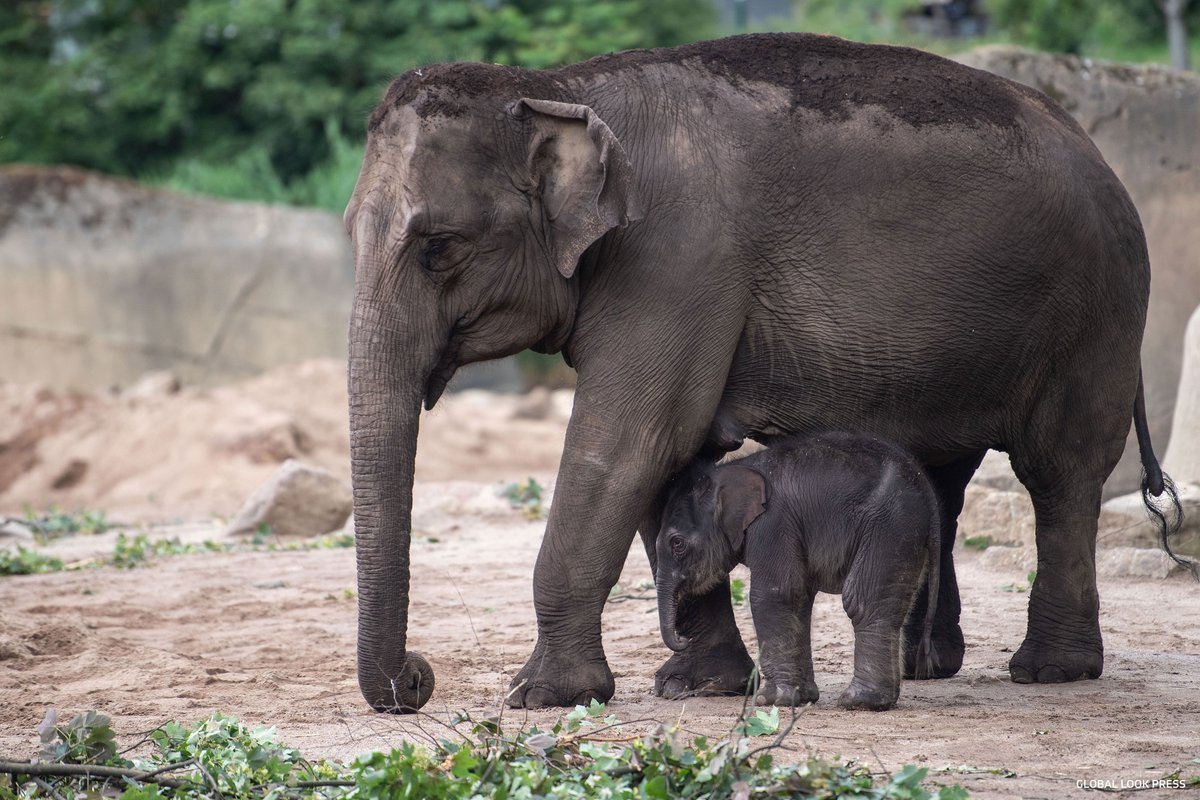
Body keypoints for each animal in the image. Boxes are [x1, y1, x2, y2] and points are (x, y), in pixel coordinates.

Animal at [652, 434, 940, 710]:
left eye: (677, 544)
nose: (682, 638)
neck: (733, 469)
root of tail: (928, 492)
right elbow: (798, 598)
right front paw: (801, 698)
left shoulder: (772, 524)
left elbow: (774, 594)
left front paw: (769, 700)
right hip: (903, 534)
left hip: (888, 526)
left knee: (862, 602)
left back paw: (859, 702)